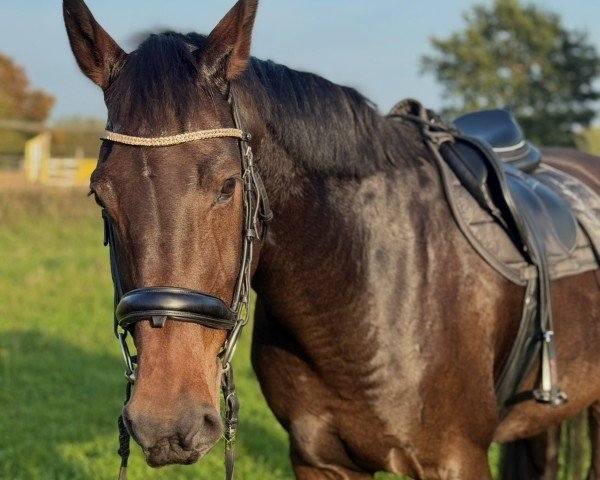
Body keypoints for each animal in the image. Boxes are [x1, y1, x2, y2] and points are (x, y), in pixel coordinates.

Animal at [62, 0, 600, 478]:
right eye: (100, 196)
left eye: (228, 185)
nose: (166, 421)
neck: (361, 289)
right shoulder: (320, 461)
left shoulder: (456, 460)